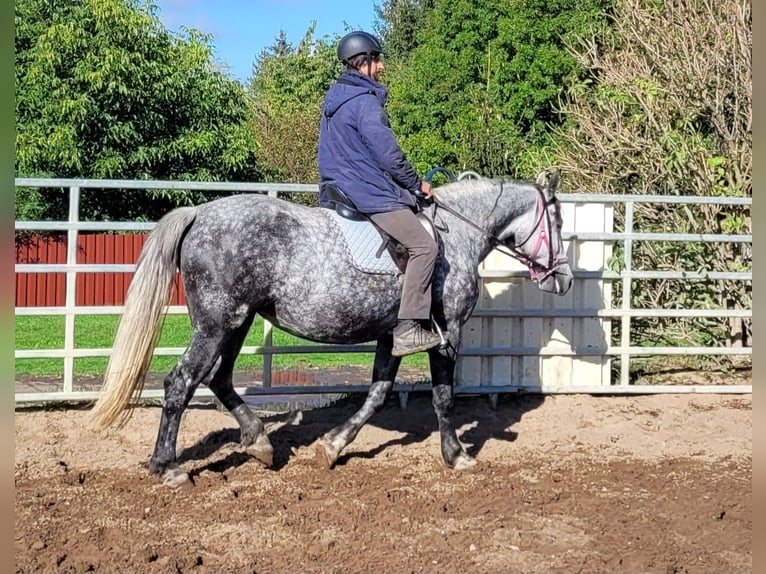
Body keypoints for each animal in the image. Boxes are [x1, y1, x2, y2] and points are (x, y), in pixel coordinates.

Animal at [90, 169, 572, 488]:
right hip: (215, 323)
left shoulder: (390, 336)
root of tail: (199, 213)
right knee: (181, 382)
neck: (456, 235)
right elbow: (443, 397)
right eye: (559, 221)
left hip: (236, 322)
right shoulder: (447, 334)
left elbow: (377, 394)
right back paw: (169, 467)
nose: (564, 279)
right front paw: (456, 456)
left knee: (219, 378)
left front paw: (335, 445)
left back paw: (259, 441)